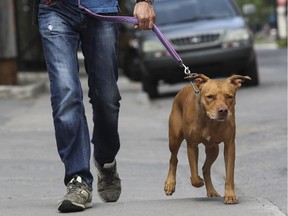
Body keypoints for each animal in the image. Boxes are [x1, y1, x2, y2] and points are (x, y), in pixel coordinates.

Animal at [164, 73, 250, 203]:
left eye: (229, 96)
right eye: (210, 97)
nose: (223, 110)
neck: (210, 122)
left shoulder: (229, 145)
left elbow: (229, 174)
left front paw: (230, 195)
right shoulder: (192, 145)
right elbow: (194, 174)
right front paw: (198, 181)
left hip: (213, 149)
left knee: (206, 168)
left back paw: (212, 191)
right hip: (174, 139)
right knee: (173, 159)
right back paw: (170, 184)